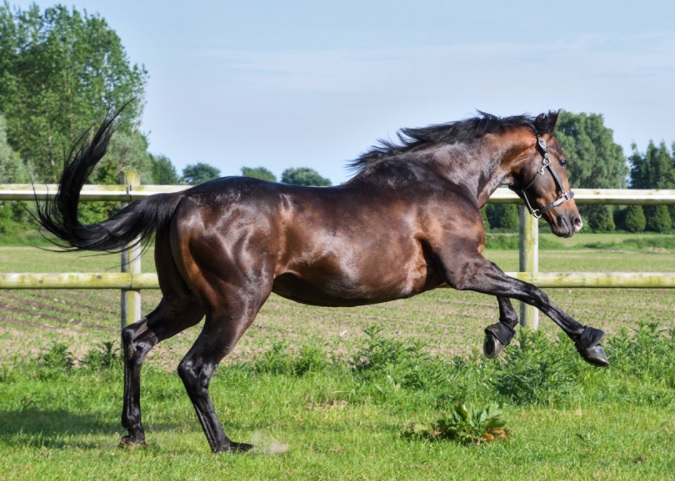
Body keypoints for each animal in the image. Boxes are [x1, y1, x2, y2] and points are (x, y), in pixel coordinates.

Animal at [34, 109, 608, 454]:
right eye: (559, 159)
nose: (572, 221)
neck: (445, 181)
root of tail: (178, 200)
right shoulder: (464, 270)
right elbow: (534, 290)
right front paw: (593, 345)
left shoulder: (465, 272)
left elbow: (516, 296)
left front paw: (498, 337)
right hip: (236, 305)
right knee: (194, 368)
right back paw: (227, 446)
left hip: (186, 302)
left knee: (136, 341)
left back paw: (135, 433)